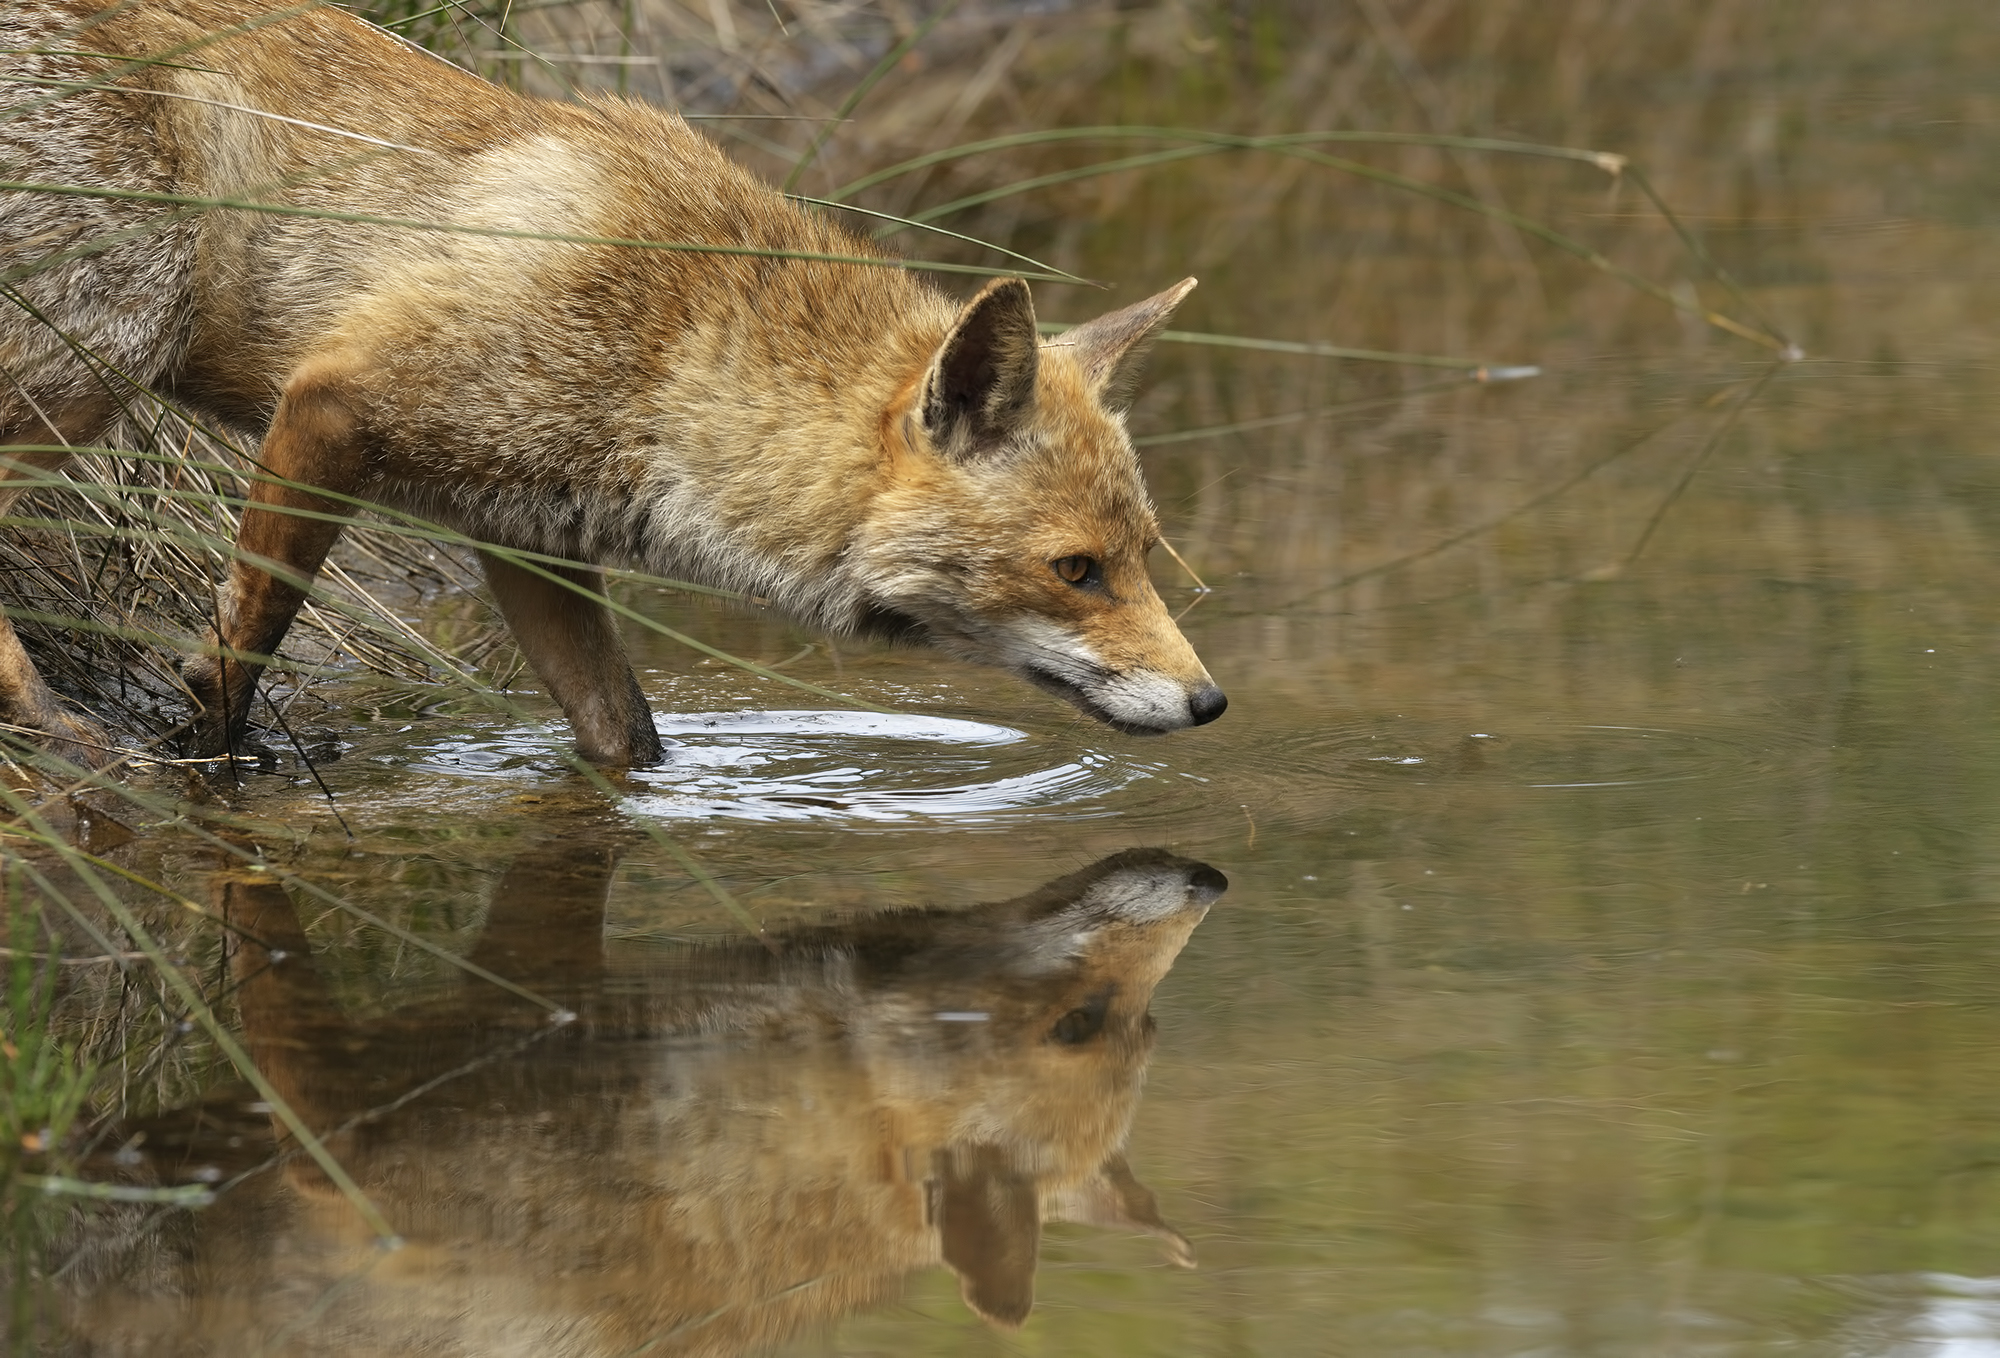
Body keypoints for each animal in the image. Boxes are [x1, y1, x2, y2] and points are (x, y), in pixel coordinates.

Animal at [0, 0, 1226, 768]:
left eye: (1144, 556)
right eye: (1075, 571)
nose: (1212, 701)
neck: (673, 354)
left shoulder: (524, 539)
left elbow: (623, 736)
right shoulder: (334, 406)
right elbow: (247, 640)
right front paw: (212, 764)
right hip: (106, 351)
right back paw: (67, 750)